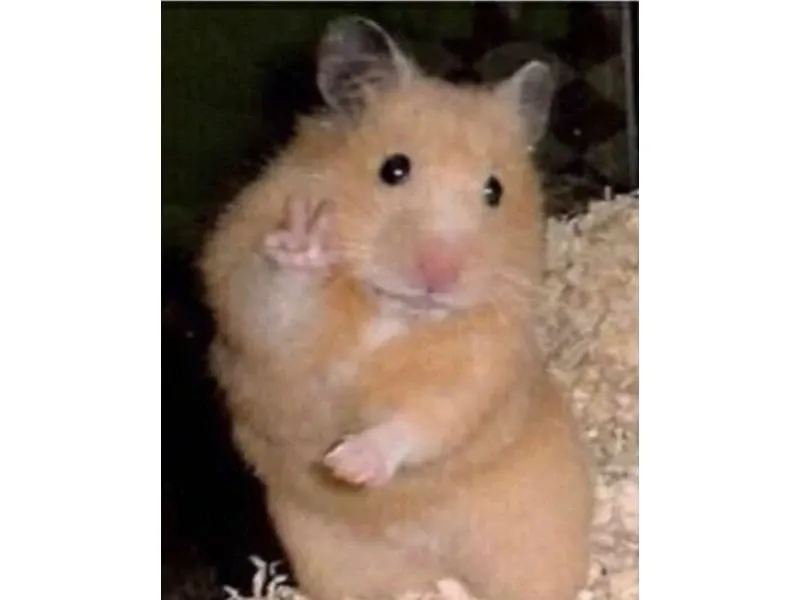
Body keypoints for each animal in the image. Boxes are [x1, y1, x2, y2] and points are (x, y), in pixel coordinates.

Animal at [200, 15, 594, 600]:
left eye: (494, 191)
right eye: (394, 169)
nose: (439, 274)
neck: (395, 315)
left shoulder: (482, 366)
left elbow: (425, 418)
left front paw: (348, 466)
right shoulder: (250, 307)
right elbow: (278, 301)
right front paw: (307, 241)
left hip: (533, 538)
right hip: (334, 563)